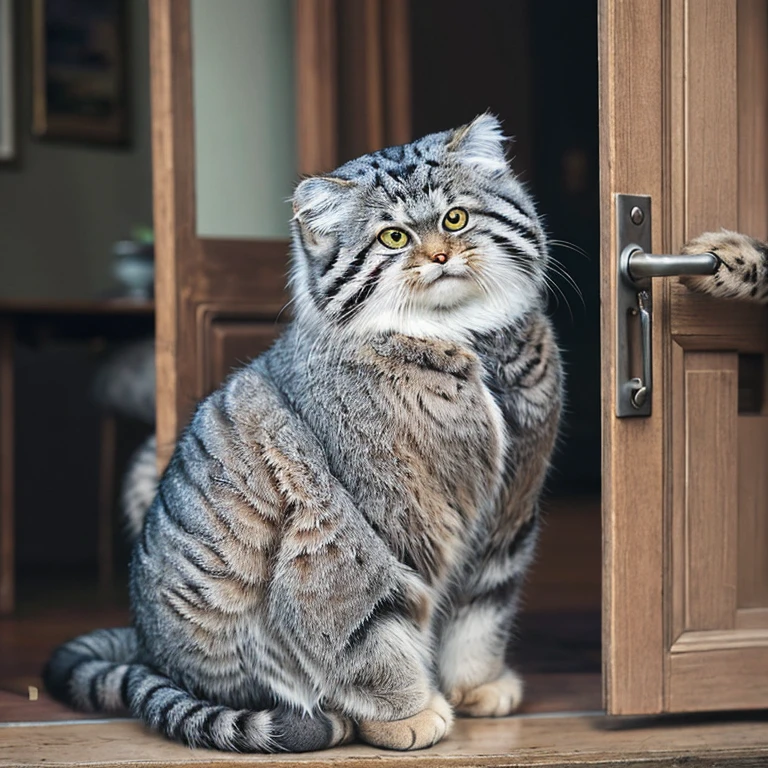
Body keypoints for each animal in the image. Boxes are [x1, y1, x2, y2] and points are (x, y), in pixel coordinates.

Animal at [46, 114, 564, 752]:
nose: (440, 255)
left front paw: (476, 685)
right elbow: (374, 632)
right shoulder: (367, 527)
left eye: (455, 218)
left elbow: (483, 609)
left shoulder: (507, 517)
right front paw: (409, 714)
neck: (459, 341)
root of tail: (145, 648)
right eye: (394, 238)